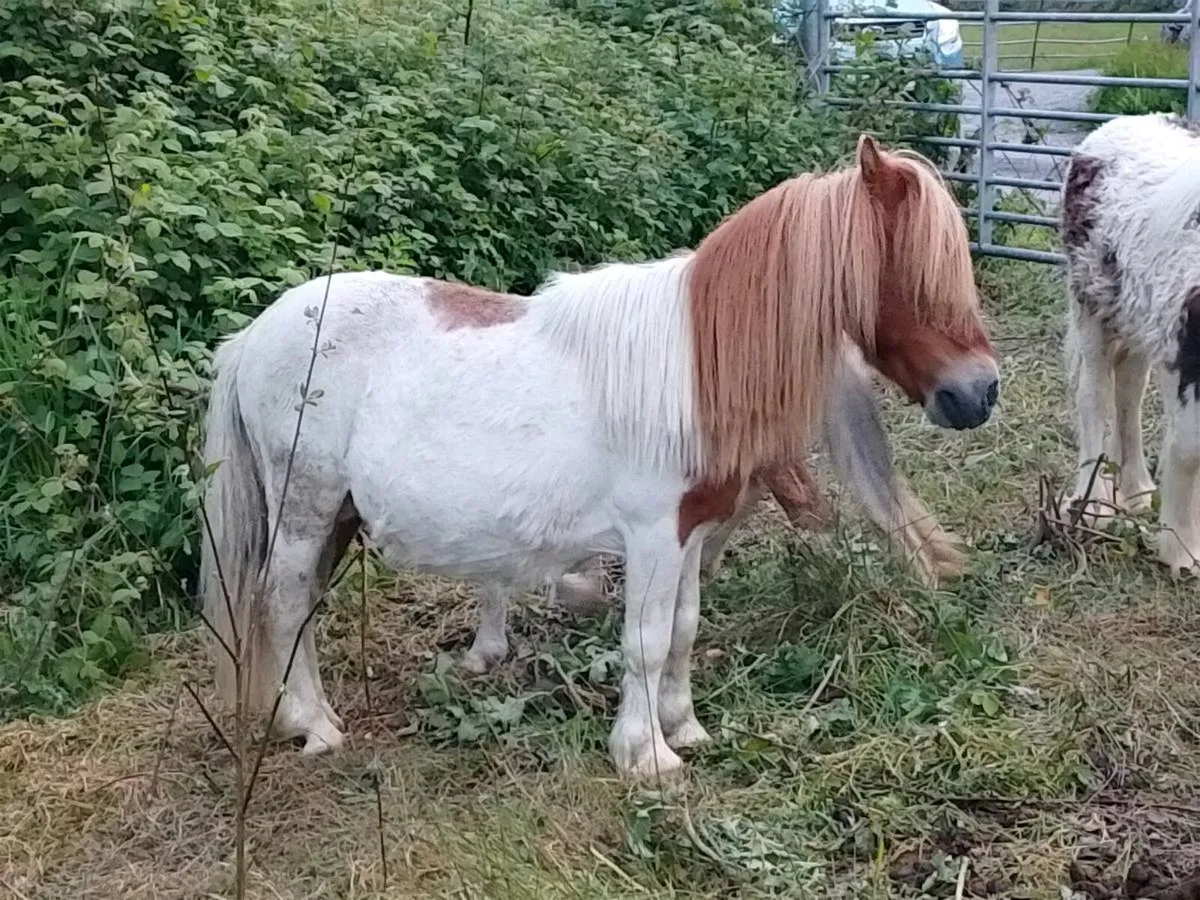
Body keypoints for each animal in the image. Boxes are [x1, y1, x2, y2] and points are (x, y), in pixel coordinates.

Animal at [1061, 113, 1200, 573]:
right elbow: (1187, 450)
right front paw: (1182, 553)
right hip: (1091, 305)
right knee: (1094, 396)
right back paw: (1092, 504)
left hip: (1140, 318)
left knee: (1129, 393)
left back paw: (1138, 490)